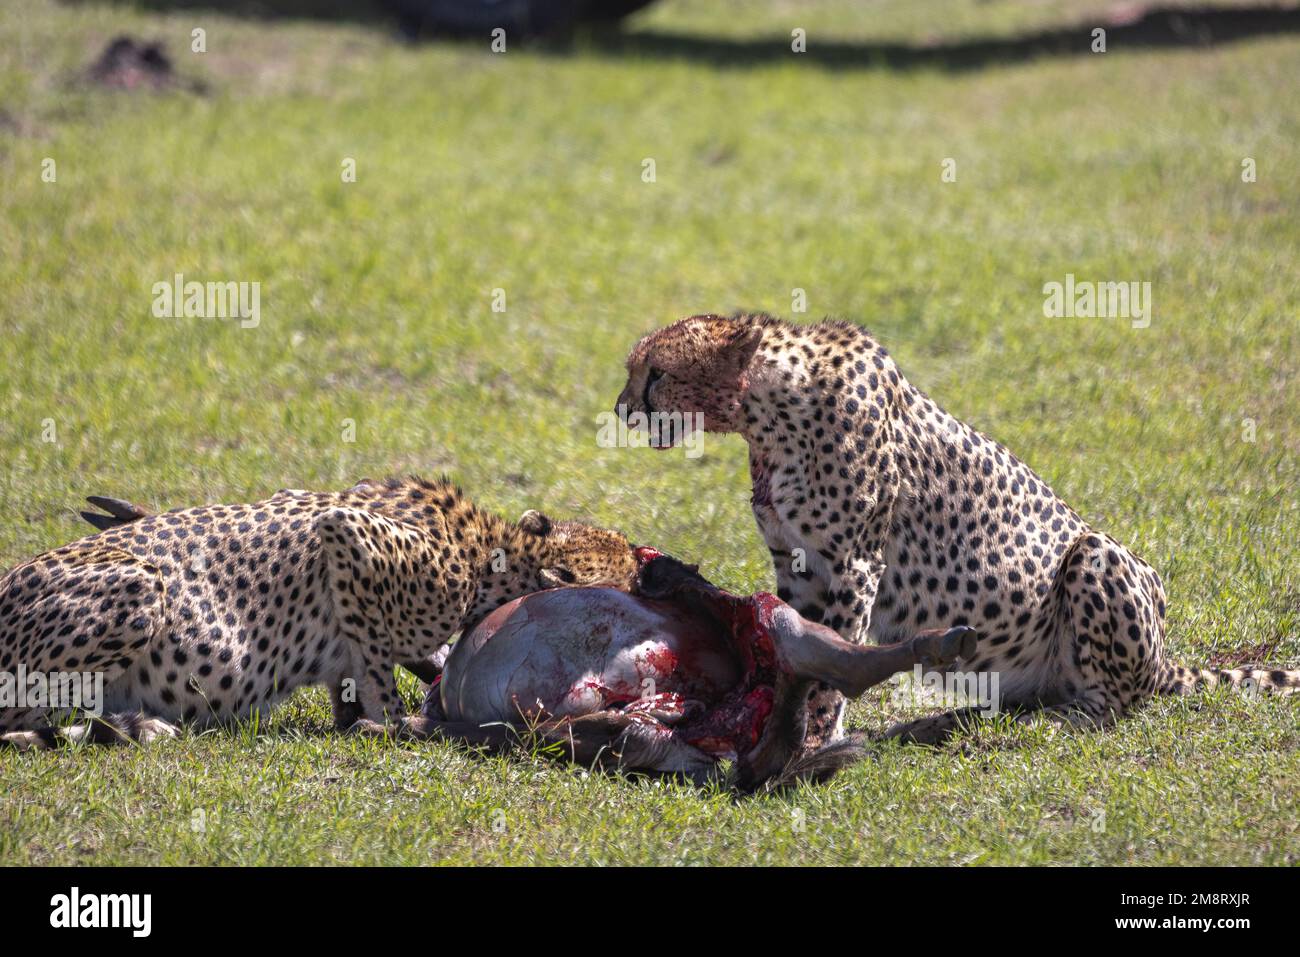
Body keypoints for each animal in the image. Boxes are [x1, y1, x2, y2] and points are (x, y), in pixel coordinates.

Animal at [0, 475, 639, 748]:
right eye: (636, 575)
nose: (654, 570)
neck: (491, 551)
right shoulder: (347, 534)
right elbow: (380, 673)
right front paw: (396, 724)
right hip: (138, 587)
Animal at [616, 314, 1300, 748]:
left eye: (656, 372)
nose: (622, 410)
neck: (765, 411)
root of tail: (1164, 662)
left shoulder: (851, 563)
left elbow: (829, 656)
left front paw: (811, 738)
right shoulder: (799, 564)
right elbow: (796, 643)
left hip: (1098, 556)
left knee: (1104, 708)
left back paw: (1023, 726)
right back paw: (943, 722)